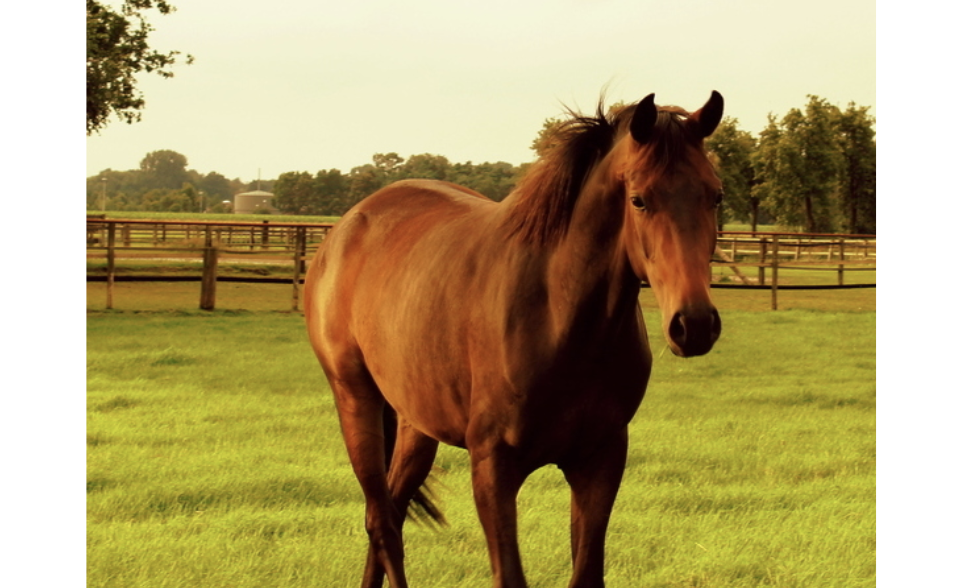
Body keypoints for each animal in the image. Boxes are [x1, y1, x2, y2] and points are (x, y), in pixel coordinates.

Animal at [306, 92, 724, 588]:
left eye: (716, 195)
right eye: (639, 200)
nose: (693, 324)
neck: (558, 318)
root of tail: (347, 226)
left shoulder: (600, 461)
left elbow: (587, 573)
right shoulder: (493, 468)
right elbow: (509, 574)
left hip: (416, 423)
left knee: (390, 510)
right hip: (355, 398)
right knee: (381, 520)